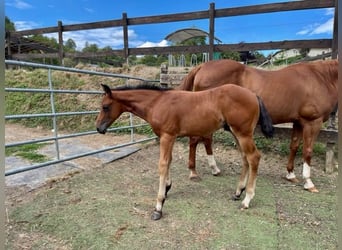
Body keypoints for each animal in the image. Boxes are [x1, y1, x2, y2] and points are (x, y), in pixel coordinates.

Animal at [95, 83, 272, 219]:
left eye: (105, 106)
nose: (98, 128)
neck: (157, 103)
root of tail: (253, 94)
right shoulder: (170, 137)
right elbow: (169, 161)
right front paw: (167, 188)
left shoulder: (167, 136)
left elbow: (163, 164)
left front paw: (158, 206)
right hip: (236, 133)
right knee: (245, 157)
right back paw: (238, 192)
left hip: (243, 133)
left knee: (253, 157)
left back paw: (247, 200)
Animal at [178, 58, 338, 193]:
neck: (320, 78)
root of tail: (202, 66)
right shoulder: (313, 122)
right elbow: (308, 151)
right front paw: (308, 182)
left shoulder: (298, 122)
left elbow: (294, 146)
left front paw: (290, 174)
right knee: (196, 140)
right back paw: (194, 172)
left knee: (204, 140)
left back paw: (213, 168)